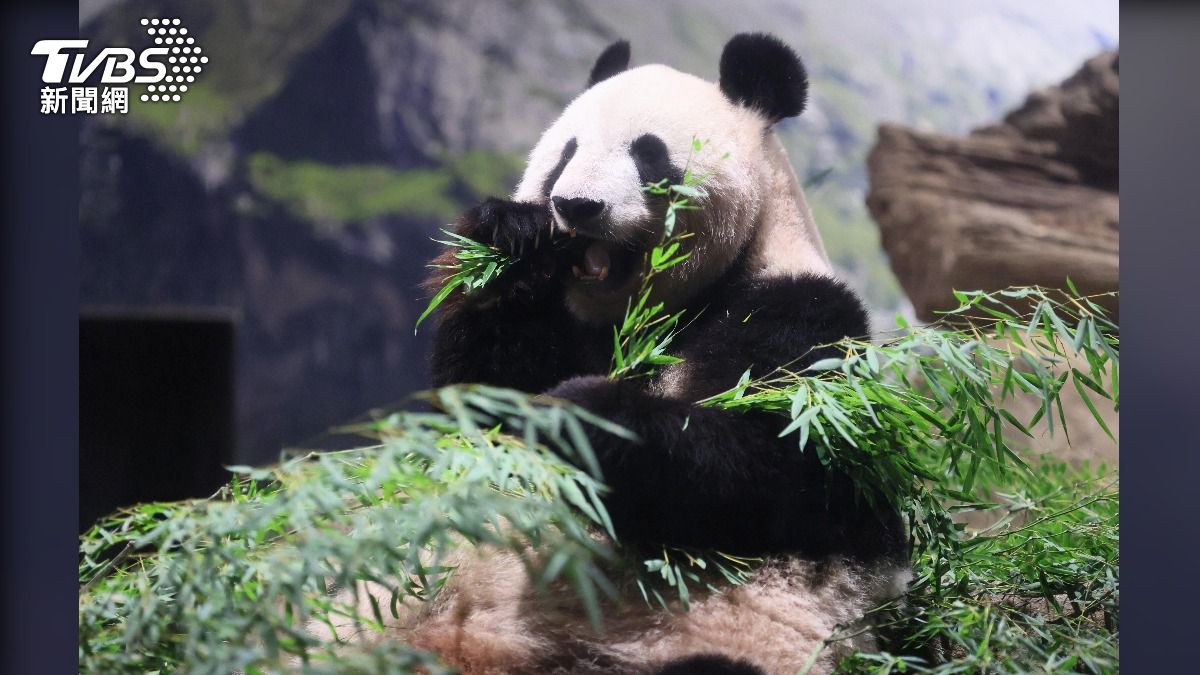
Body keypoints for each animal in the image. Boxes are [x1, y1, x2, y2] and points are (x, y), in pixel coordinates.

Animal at [336, 32, 907, 672]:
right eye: (566, 152)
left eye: (649, 155)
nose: (576, 205)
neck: (637, 318)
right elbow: (475, 411)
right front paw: (509, 236)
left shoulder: (798, 314)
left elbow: (787, 463)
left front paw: (576, 416)